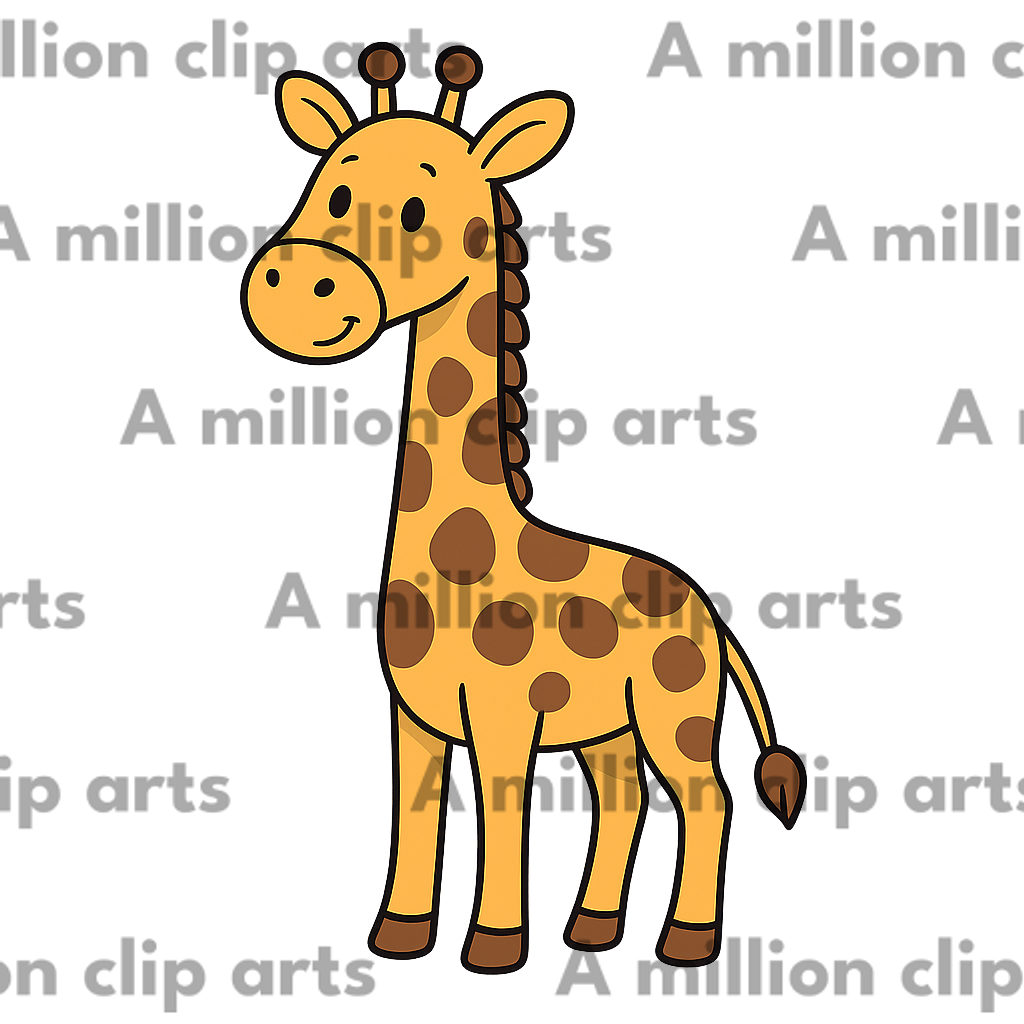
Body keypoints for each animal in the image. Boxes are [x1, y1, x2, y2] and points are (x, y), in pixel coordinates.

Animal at [240, 43, 806, 974]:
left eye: (419, 209)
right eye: (329, 189)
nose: (293, 290)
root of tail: (709, 615)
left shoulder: (506, 714)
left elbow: (502, 812)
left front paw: (494, 947)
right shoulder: (413, 716)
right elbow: (416, 816)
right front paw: (399, 935)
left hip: (675, 709)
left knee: (707, 799)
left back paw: (686, 939)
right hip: (610, 726)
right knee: (623, 798)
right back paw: (594, 928)